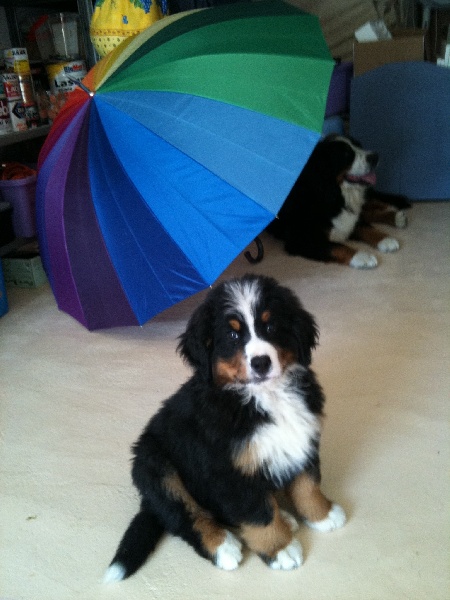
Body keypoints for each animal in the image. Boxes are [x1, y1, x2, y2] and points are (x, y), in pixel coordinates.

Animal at [105, 275, 346, 581]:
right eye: (232, 336)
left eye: (270, 326)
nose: (261, 362)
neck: (265, 397)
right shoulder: (228, 470)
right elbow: (257, 513)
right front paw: (279, 548)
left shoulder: (303, 439)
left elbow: (307, 485)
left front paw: (322, 514)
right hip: (155, 465)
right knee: (184, 515)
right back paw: (223, 545)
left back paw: (285, 517)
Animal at [267, 134, 411, 268]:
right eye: (346, 154)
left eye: (358, 145)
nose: (375, 156)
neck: (334, 194)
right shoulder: (300, 239)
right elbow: (336, 247)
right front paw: (362, 256)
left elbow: (365, 226)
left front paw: (385, 239)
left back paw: (396, 215)